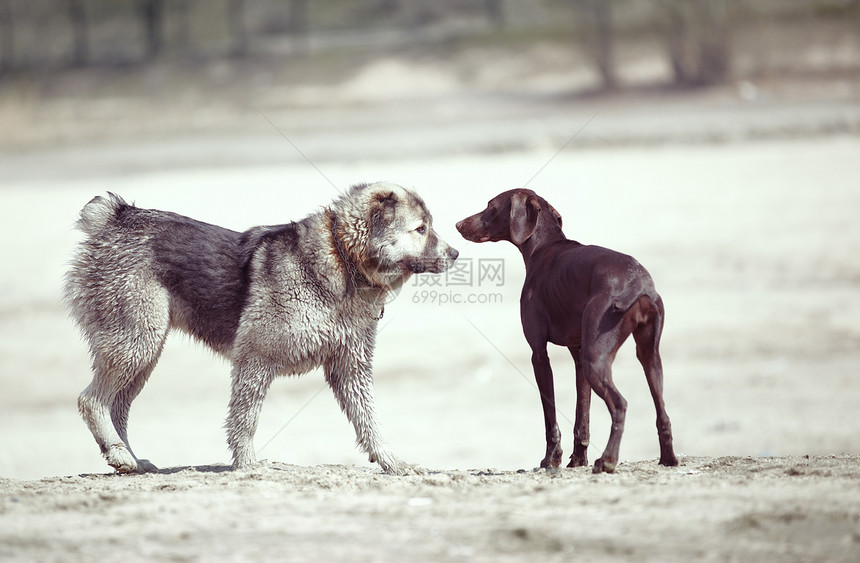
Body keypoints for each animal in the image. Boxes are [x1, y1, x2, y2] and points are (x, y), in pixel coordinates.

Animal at [456, 192, 680, 474]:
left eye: (490, 206)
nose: (458, 224)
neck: (543, 247)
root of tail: (636, 283)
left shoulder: (539, 354)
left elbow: (550, 418)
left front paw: (551, 459)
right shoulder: (579, 354)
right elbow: (581, 417)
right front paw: (577, 460)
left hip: (597, 360)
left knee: (620, 405)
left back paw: (607, 460)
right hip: (648, 357)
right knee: (663, 411)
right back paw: (668, 458)